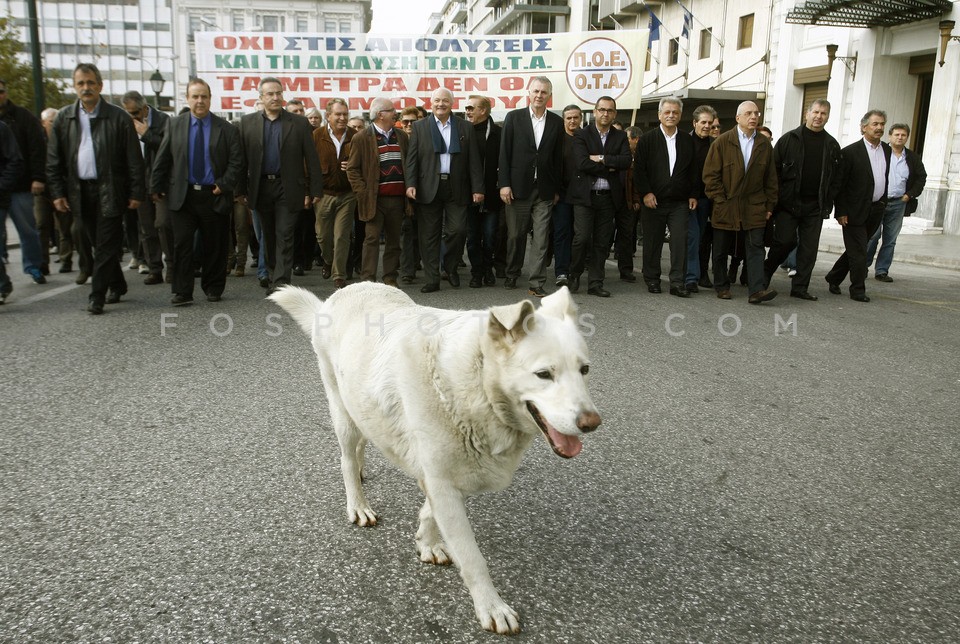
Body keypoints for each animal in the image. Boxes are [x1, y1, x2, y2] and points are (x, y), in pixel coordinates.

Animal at [270, 284, 600, 632]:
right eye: (543, 374)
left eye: (584, 370)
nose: (592, 423)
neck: (475, 382)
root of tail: (342, 292)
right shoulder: (443, 479)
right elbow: (472, 557)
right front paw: (491, 606)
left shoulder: (451, 472)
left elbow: (430, 511)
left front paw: (426, 542)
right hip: (342, 411)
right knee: (346, 458)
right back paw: (357, 504)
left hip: (362, 406)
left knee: (362, 444)